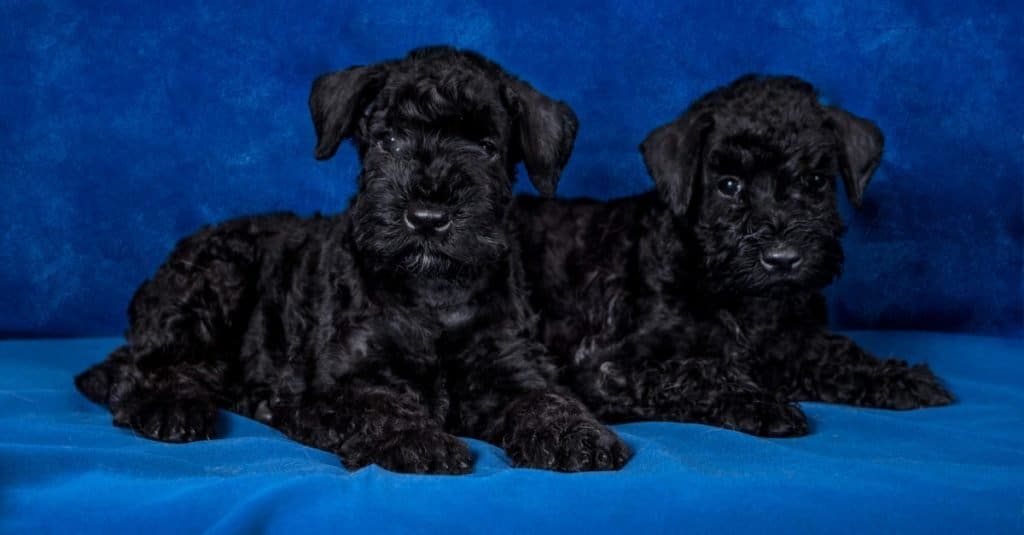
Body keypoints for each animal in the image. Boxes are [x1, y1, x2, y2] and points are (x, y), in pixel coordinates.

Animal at [75, 45, 626, 471]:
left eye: (487, 146)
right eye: (388, 139)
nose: (427, 217)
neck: (432, 296)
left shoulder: (512, 368)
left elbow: (546, 398)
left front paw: (576, 434)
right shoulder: (333, 384)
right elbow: (377, 405)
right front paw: (419, 440)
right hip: (213, 279)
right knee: (143, 371)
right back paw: (173, 410)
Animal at [516, 73, 954, 432]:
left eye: (815, 181)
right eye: (728, 185)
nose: (782, 259)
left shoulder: (793, 340)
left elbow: (833, 351)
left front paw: (894, 376)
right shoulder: (606, 366)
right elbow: (696, 370)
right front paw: (759, 403)